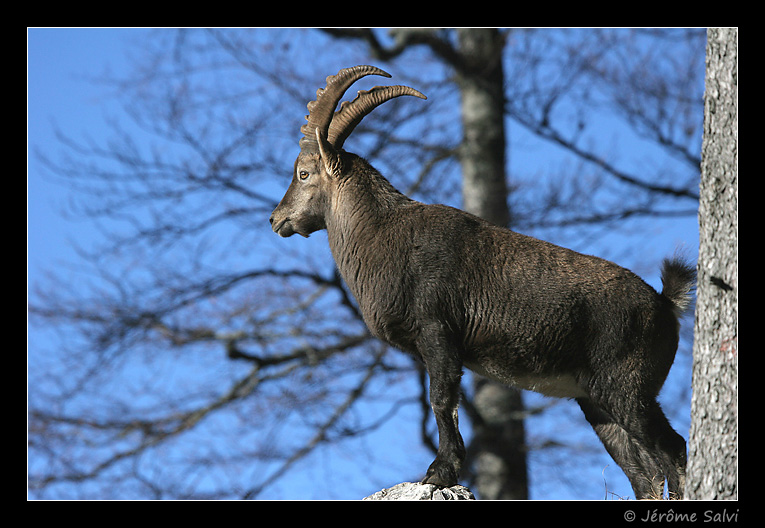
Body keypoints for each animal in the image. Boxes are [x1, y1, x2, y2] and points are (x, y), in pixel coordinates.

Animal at [269, 65, 695, 500]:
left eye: (303, 173)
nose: (276, 219)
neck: (379, 233)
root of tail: (665, 305)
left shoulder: (437, 331)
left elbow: (441, 399)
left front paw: (440, 472)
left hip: (629, 389)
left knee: (673, 449)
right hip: (597, 402)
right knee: (643, 473)